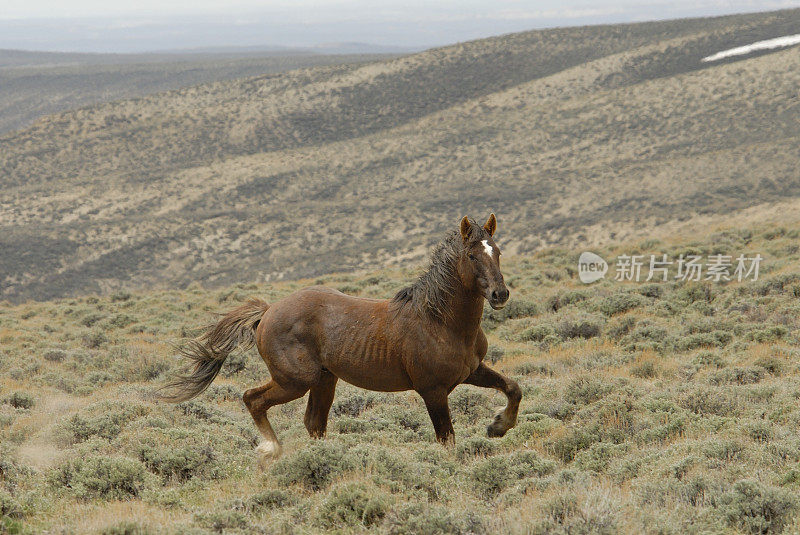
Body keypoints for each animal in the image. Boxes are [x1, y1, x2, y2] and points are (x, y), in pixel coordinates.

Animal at [161, 216, 524, 466]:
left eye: (498, 252)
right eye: (473, 256)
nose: (500, 294)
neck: (440, 321)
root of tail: (267, 312)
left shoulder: (472, 371)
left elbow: (513, 388)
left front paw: (498, 426)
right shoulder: (433, 391)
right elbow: (447, 439)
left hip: (324, 380)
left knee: (313, 423)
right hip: (296, 380)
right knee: (253, 399)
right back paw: (271, 450)